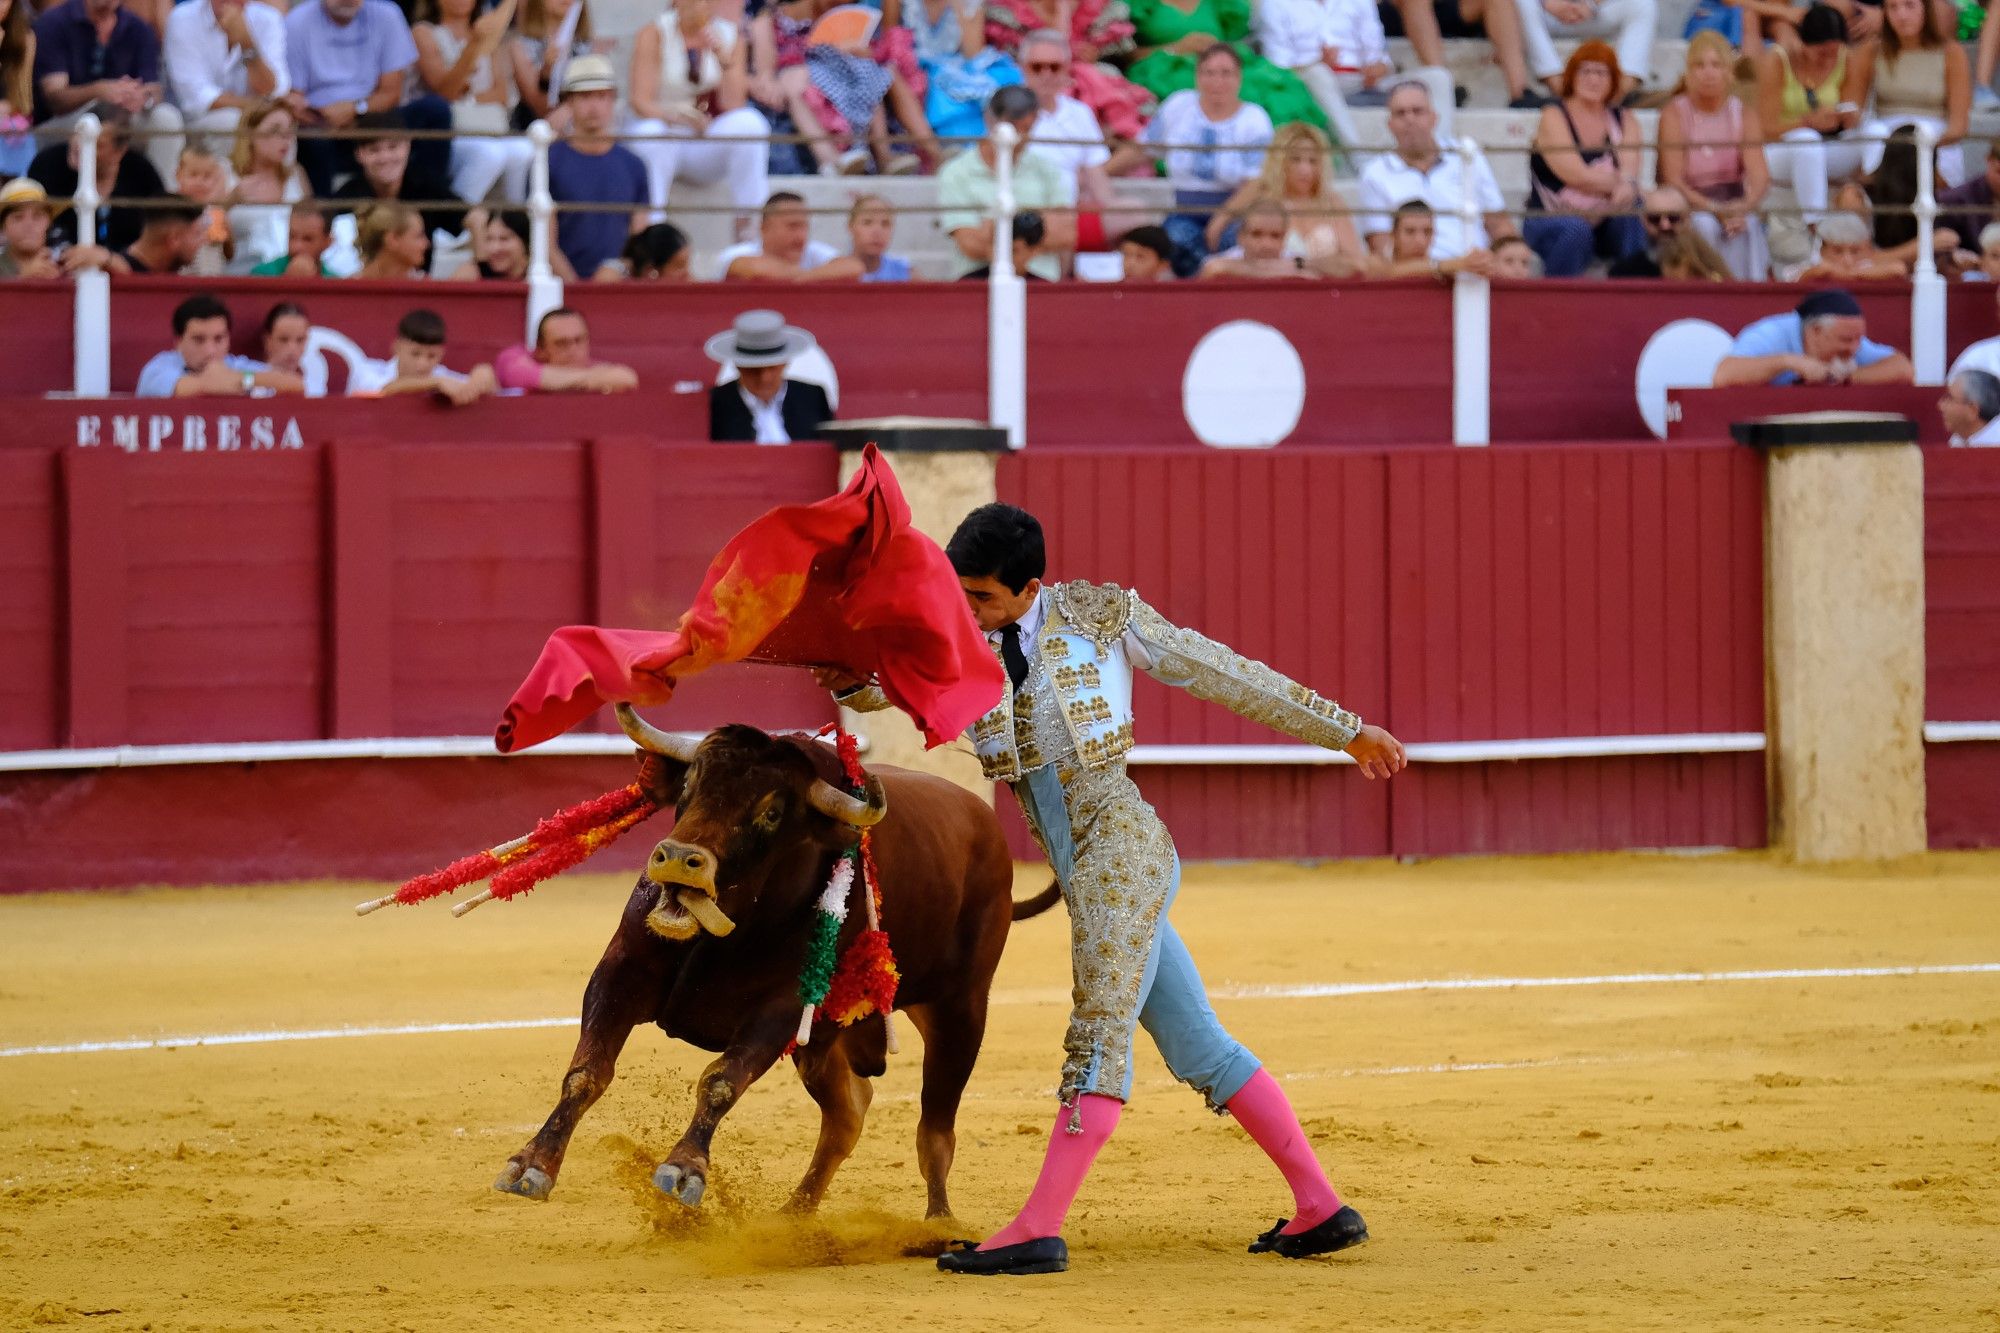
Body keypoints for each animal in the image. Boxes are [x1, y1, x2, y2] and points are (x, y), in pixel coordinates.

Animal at [496, 704, 1064, 1216]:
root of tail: (986, 829)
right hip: (825, 1040)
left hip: (961, 1008)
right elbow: (587, 1070)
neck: (727, 933)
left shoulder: (780, 1009)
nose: (678, 859)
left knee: (935, 1130)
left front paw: (683, 1170)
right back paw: (795, 1215)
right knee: (848, 1113)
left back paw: (937, 1226)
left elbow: (720, 1080)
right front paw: (532, 1164)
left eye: (770, 813)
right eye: (688, 788)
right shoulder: (621, 971)